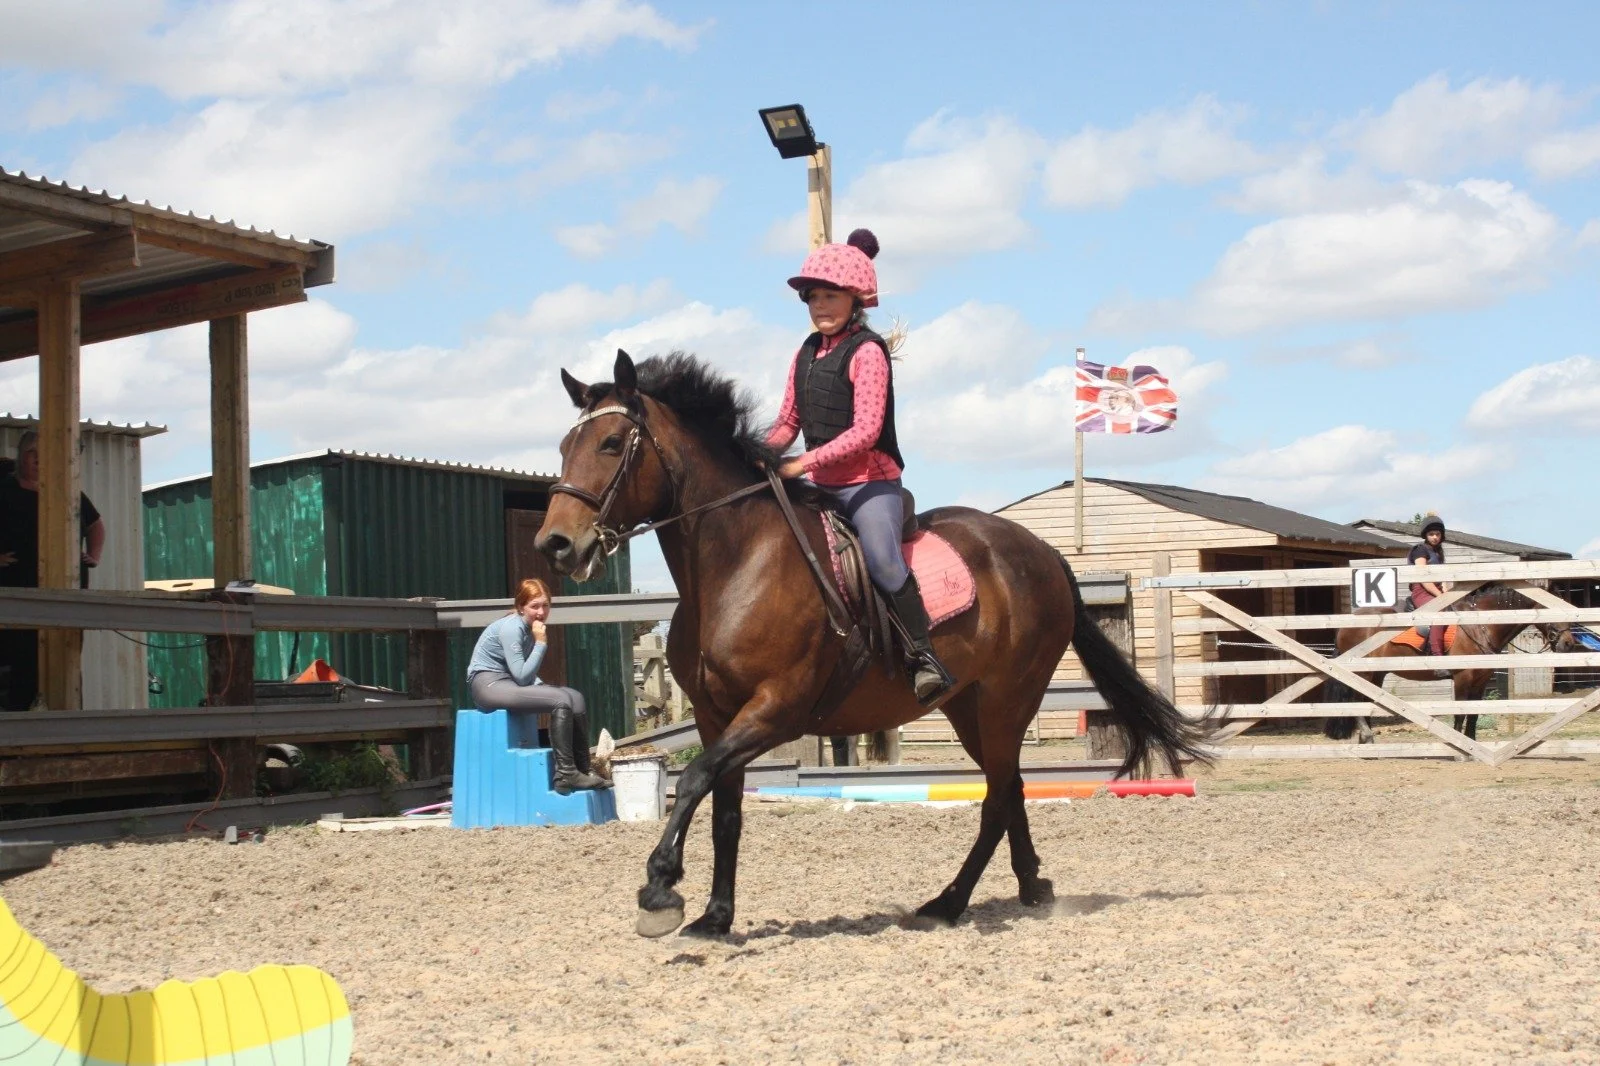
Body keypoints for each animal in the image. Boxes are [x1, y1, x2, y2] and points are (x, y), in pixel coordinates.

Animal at [537, 350, 1209, 938]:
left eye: (611, 444)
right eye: (564, 448)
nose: (555, 546)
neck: (732, 566)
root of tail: (1043, 551)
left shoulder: (776, 710)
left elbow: (697, 777)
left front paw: (659, 889)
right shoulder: (713, 714)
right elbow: (724, 809)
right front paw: (715, 916)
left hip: (1006, 700)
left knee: (996, 796)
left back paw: (949, 903)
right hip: (969, 706)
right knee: (1010, 787)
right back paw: (1029, 887)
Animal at [1322, 584, 1577, 743]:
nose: (1568, 643)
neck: (1480, 625)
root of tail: (1345, 626)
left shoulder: (1480, 680)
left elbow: (1473, 714)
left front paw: (1471, 743)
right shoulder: (1463, 678)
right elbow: (1461, 713)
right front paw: (1459, 747)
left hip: (1376, 674)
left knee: (1365, 703)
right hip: (1363, 673)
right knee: (1356, 702)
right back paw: (1366, 736)